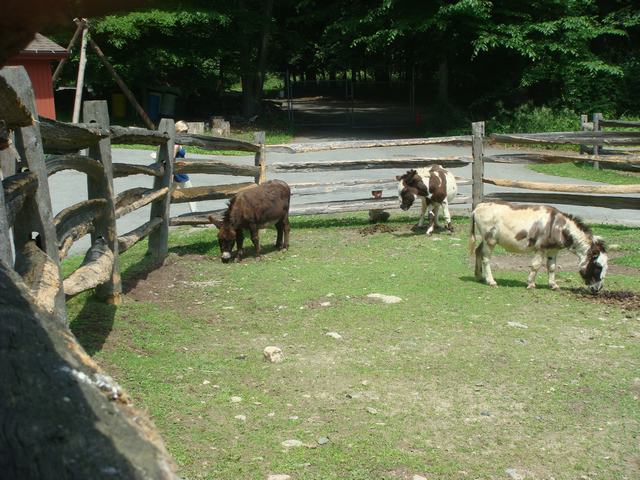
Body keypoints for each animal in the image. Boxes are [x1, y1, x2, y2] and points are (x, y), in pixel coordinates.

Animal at [468, 200, 608, 292]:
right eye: (597, 267)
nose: (598, 289)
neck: (559, 228)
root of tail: (478, 207)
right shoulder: (541, 249)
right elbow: (536, 266)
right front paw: (530, 284)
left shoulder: (553, 250)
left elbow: (552, 267)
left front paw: (553, 285)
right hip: (490, 240)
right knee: (486, 258)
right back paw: (491, 281)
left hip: (486, 239)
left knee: (478, 251)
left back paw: (479, 276)